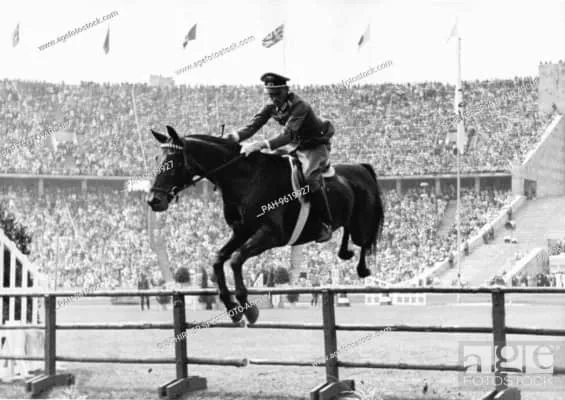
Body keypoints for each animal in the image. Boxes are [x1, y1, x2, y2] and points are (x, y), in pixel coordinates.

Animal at [147, 126, 385, 324]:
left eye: (173, 162)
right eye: (157, 158)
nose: (153, 200)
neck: (246, 179)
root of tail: (360, 167)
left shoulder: (271, 235)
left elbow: (236, 259)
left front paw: (247, 307)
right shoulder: (242, 232)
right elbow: (218, 259)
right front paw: (231, 307)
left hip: (362, 222)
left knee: (364, 241)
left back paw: (362, 268)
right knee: (348, 233)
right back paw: (344, 252)